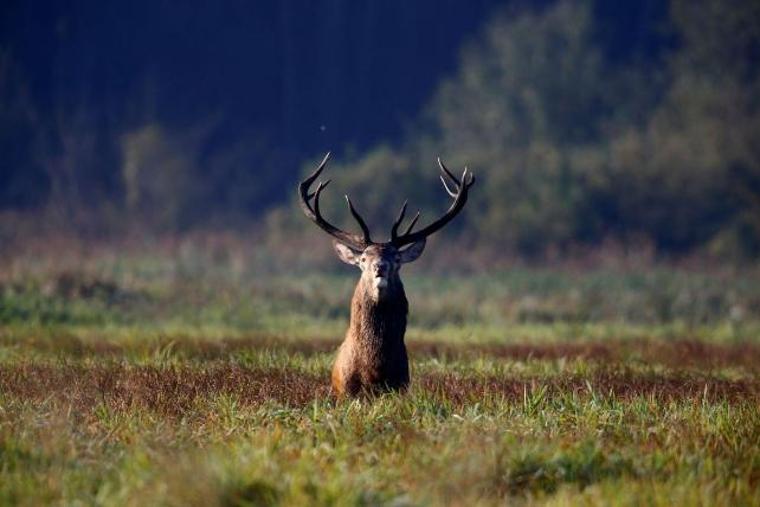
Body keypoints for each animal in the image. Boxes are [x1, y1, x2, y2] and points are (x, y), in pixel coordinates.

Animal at [298, 153, 472, 398]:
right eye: (363, 259)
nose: (380, 267)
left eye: (397, 259)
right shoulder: (346, 393)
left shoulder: (400, 386)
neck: (373, 372)